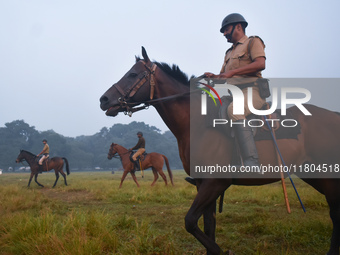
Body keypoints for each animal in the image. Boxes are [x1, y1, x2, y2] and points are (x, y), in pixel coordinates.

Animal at [99, 46, 340, 254]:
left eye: (132, 74)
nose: (104, 99)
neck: (197, 123)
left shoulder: (215, 183)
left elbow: (190, 222)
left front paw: (221, 251)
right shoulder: (202, 184)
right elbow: (208, 226)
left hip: (328, 176)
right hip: (315, 175)